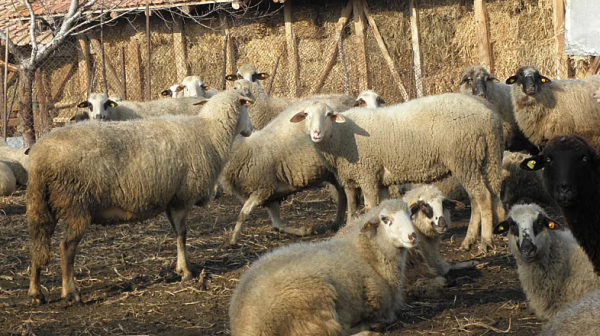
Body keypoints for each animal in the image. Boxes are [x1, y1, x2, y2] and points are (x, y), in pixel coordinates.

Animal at [27, 90, 253, 306]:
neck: (209, 133)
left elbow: (177, 233)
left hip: (42, 203)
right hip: (77, 204)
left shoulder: (170, 199)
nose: (250, 130)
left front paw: (181, 268)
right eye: (246, 108)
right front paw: (186, 272)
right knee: (66, 247)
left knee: (39, 244)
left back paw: (36, 293)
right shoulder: (181, 198)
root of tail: (39, 158)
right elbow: (183, 234)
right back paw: (71, 294)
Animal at [221, 99, 352, 244]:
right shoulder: (270, 197)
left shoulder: (263, 188)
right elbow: (277, 225)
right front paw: (304, 231)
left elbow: (243, 213)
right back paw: (336, 223)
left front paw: (232, 239)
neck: (243, 150)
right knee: (342, 194)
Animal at [229, 200, 418, 336]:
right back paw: (368, 329)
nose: (412, 236)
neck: (367, 255)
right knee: (333, 332)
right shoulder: (381, 307)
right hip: (312, 302)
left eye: (411, 215)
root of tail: (246, 325)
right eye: (385, 220)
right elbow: (386, 317)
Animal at [292, 95, 508, 252]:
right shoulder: (367, 179)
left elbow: (369, 206)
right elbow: (363, 208)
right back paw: (469, 240)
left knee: (482, 197)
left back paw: (484, 242)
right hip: (483, 159)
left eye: (329, 114)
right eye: (306, 114)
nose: (316, 133)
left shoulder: (367, 174)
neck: (341, 136)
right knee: (480, 196)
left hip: (464, 158)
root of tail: (489, 115)